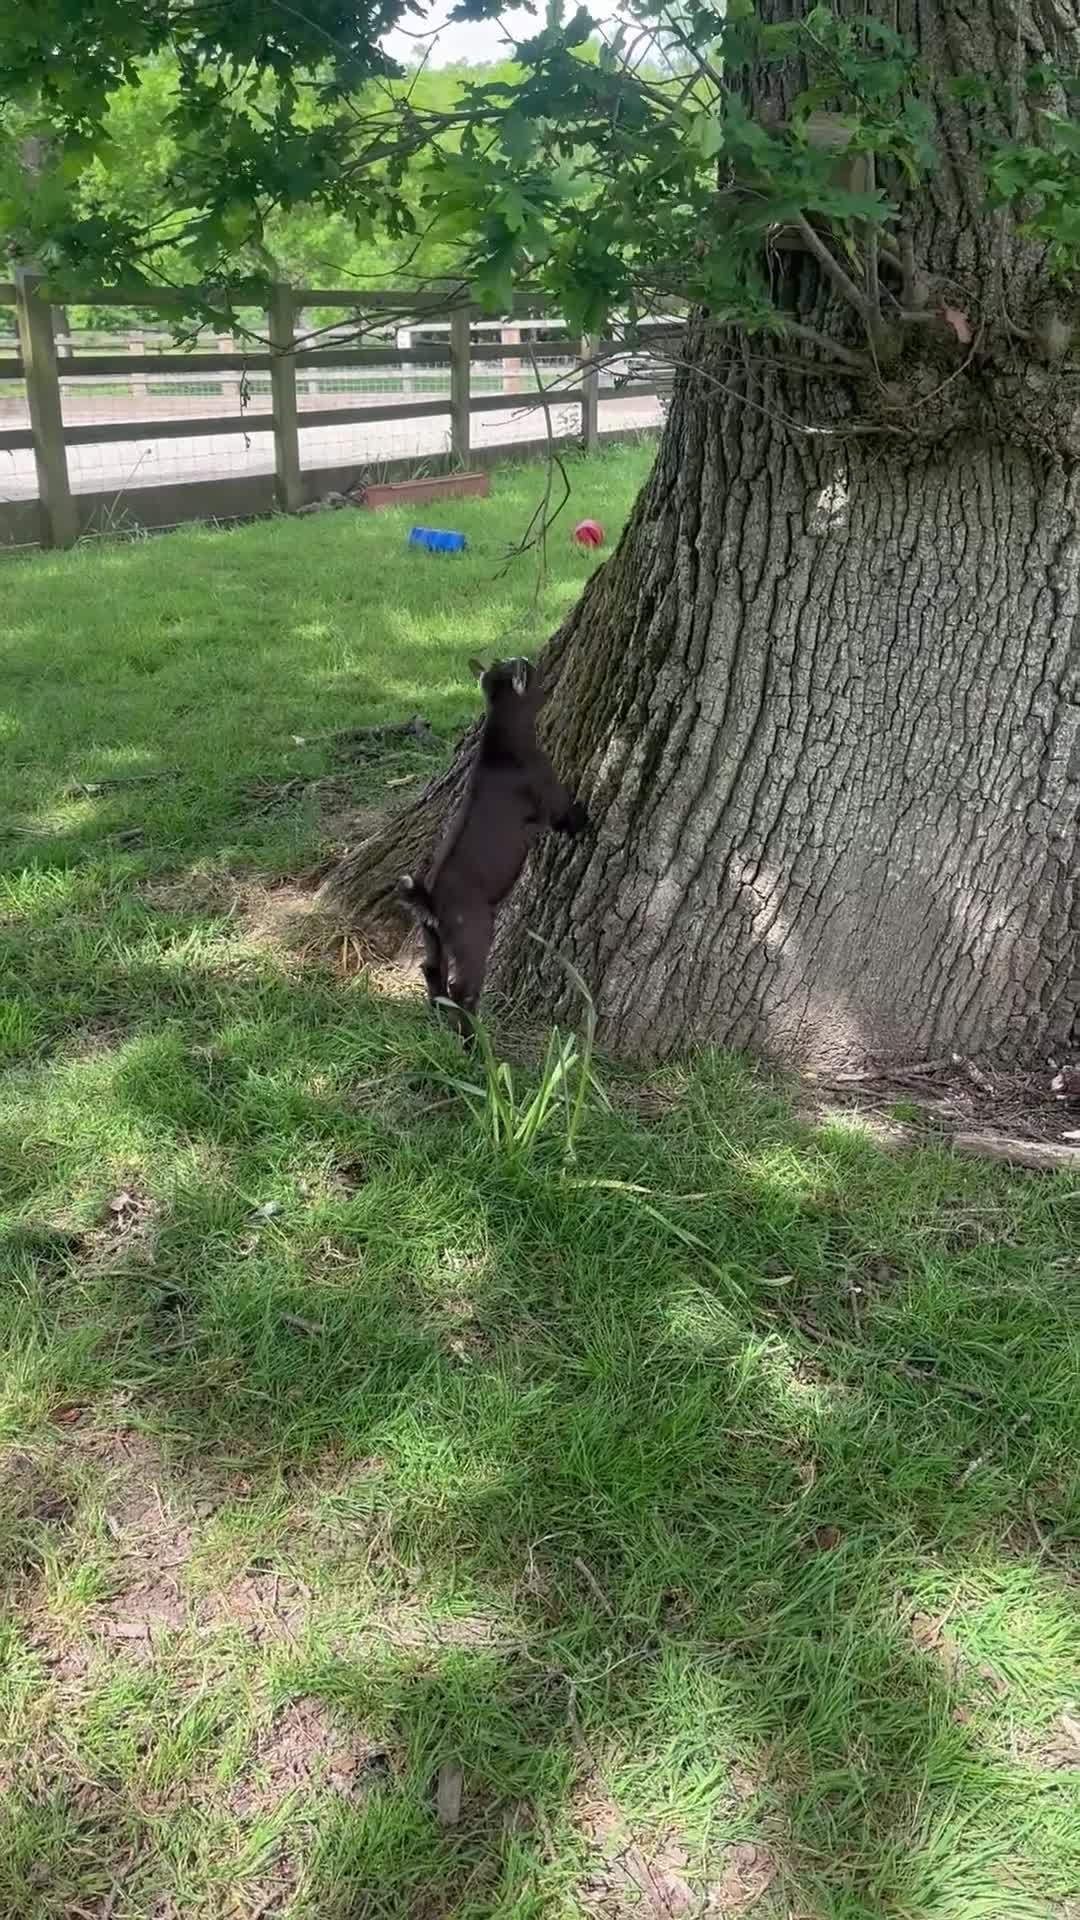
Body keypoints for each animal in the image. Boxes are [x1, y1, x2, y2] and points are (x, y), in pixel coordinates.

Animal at [398, 655, 588, 1035]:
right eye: (531, 671)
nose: (535, 659)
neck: (501, 740)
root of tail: (428, 899)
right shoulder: (553, 803)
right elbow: (569, 815)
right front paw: (587, 823)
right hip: (474, 935)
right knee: (462, 989)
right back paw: (473, 1039)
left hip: (432, 938)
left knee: (433, 971)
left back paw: (441, 1021)